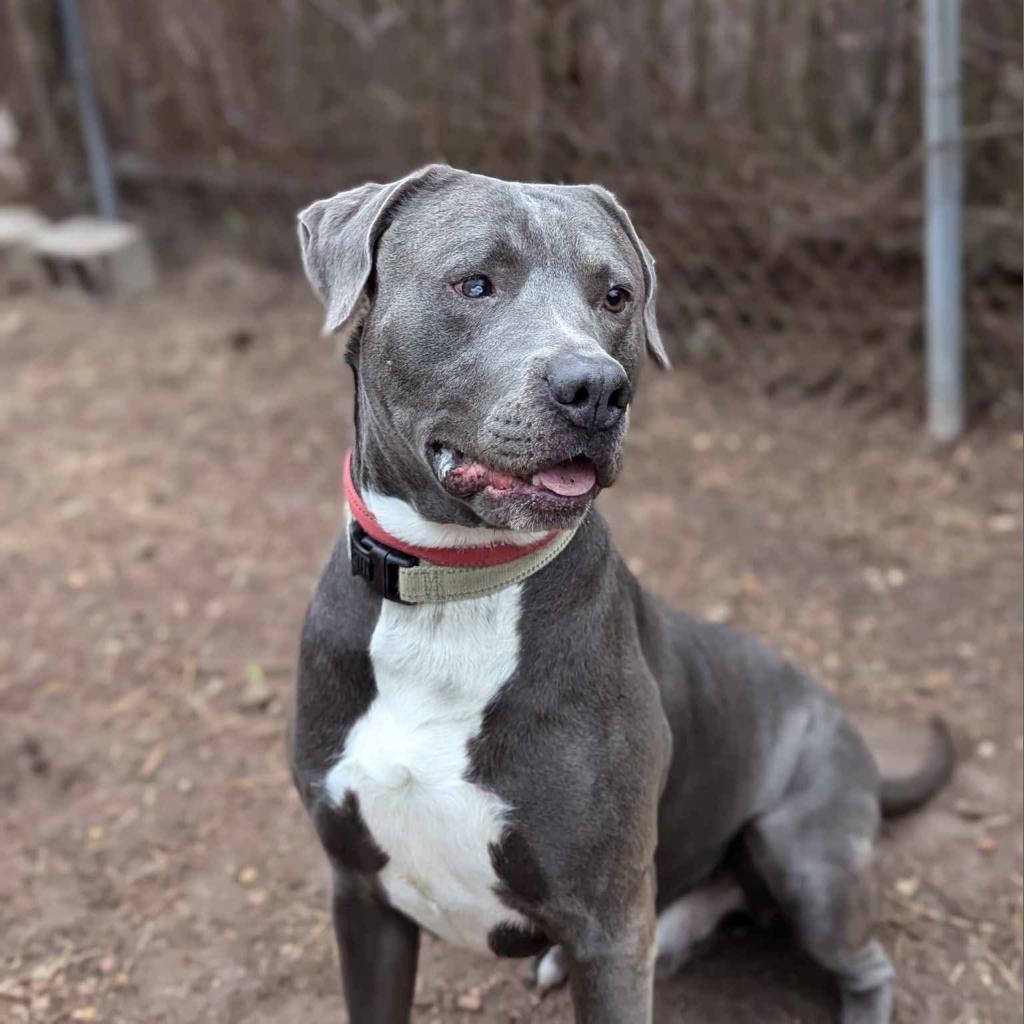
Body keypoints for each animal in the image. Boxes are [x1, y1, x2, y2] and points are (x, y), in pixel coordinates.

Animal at [288, 163, 950, 1019]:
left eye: (615, 296)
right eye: (475, 283)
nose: (596, 387)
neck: (453, 588)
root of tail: (851, 729)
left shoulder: (606, 922)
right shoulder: (360, 895)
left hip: (808, 860)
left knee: (865, 961)